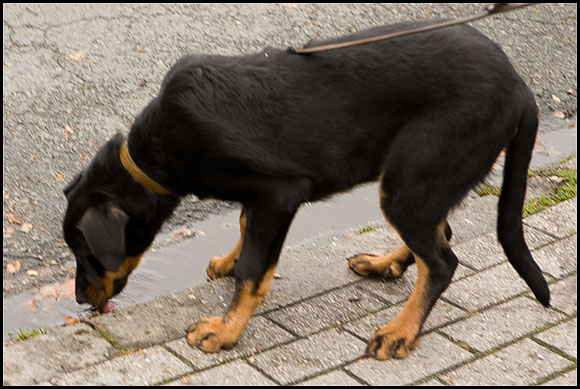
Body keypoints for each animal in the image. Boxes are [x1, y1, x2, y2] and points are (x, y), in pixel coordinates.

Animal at [62, 21, 548, 360]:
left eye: (85, 254)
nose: (81, 300)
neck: (158, 151)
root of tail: (520, 87)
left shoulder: (280, 193)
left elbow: (255, 269)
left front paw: (224, 331)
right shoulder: (260, 200)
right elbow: (244, 226)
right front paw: (229, 261)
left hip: (411, 178)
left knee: (442, 263)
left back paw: (399, 332)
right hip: (422, 178)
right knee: (437, 237)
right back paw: (385, 264)